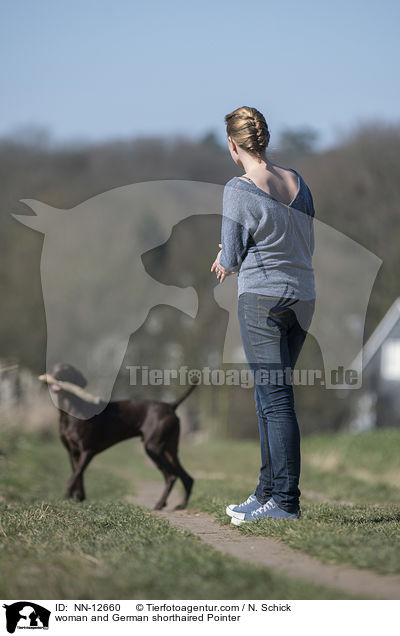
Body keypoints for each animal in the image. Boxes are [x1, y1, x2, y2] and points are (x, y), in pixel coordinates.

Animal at [41, 366, 196, 510]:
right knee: (187, 478)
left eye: (66, 369)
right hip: (169, 450)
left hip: (153, 448)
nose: (54, 375)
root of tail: (170, 405)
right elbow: (78, 474)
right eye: (54, 367)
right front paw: (79, 498)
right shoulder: (73, 452)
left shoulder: (88, 450)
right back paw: (181, 504)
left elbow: (74, 475)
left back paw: (159, 503)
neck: (69, 412)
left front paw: (66, 498)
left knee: (171, 476)